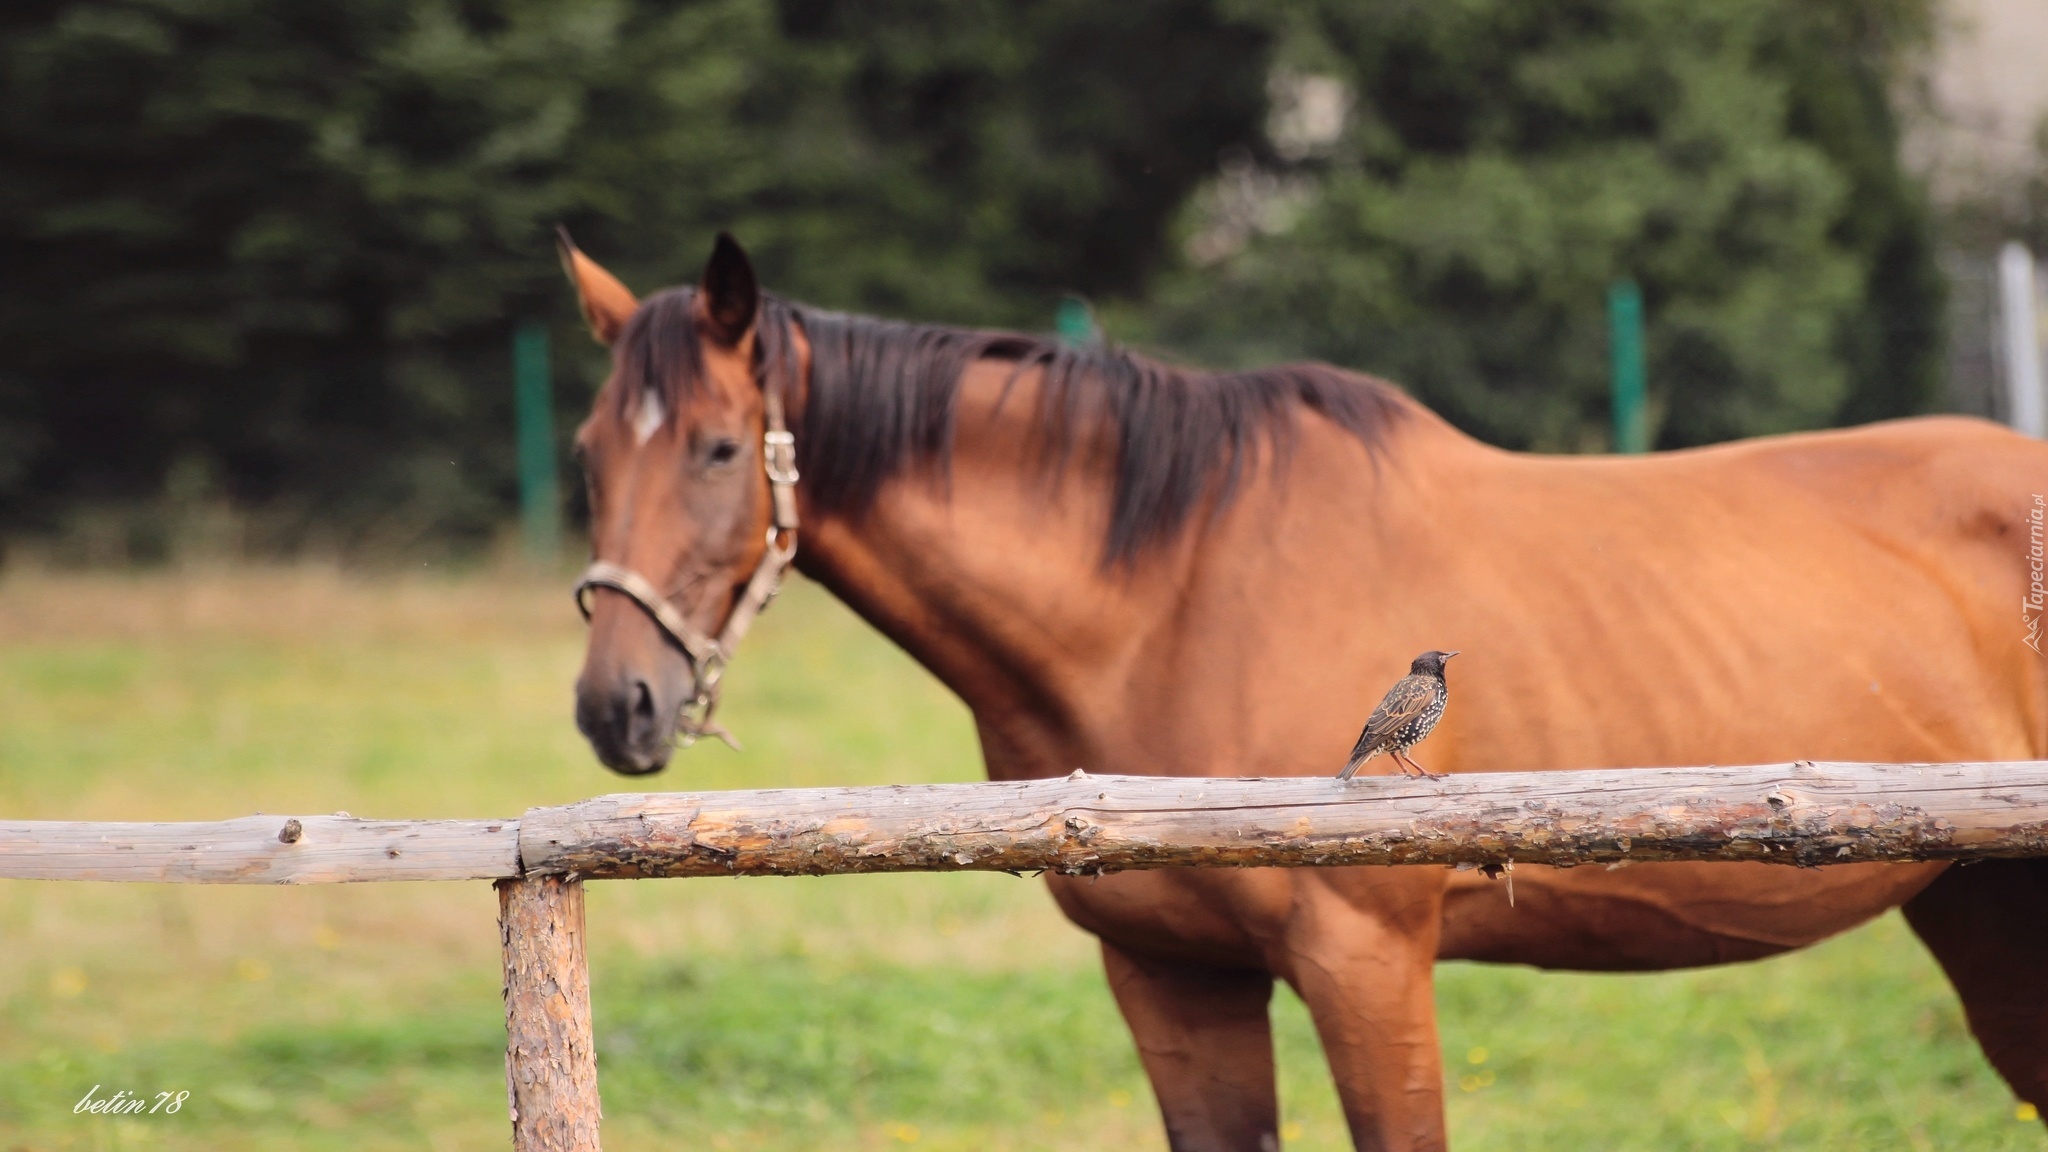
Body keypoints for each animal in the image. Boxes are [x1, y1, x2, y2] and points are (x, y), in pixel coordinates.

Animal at [565, 228, 2048, 1139]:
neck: (1166, 594)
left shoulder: (1366, 966)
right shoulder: (1172, 979)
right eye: (586, 447)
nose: (613, 705)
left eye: (715, 449)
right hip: (1979, 904)